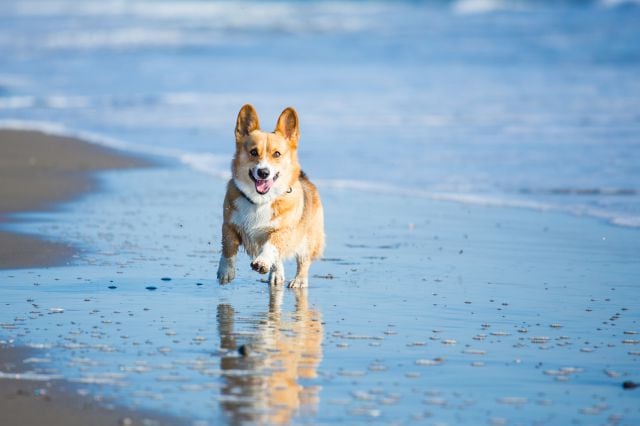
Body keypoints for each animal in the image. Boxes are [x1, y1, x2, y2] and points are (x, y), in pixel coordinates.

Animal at [218, 104, 324, 288]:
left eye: (277, 154)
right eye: (253, 152)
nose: (263, 172)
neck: (259, 201)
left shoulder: (283, 231)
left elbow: (271, 246)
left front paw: (261, 262)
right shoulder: (229, 225)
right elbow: (228, 248)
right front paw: (226, 271)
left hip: (308, 240)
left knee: (303, 262)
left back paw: (298, 281)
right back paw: (277, 274)